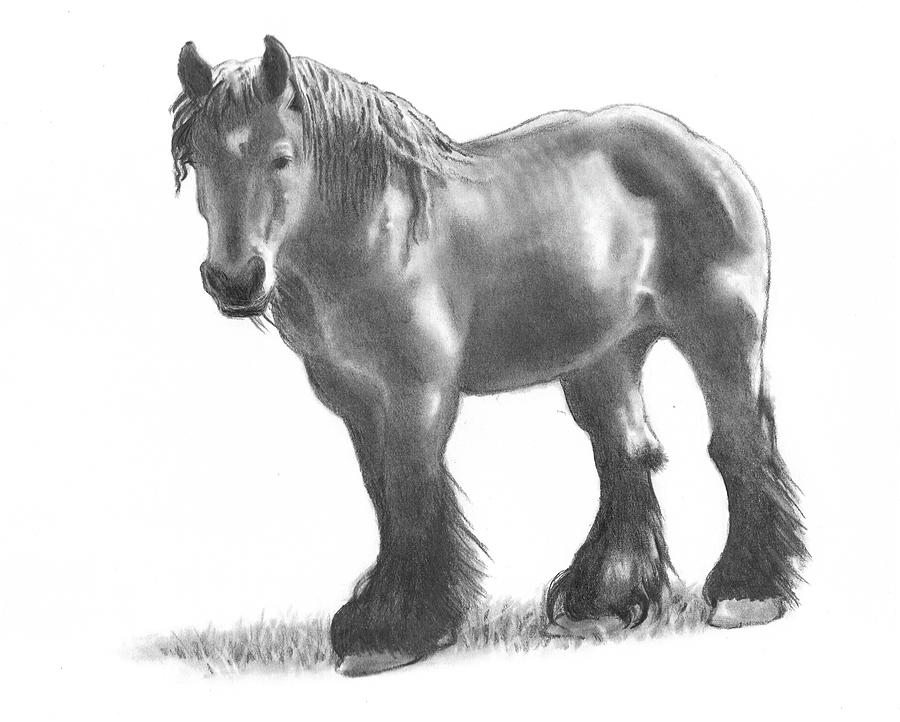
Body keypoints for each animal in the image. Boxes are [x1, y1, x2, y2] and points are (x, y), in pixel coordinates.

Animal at [172, 36, 807, 676]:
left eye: (281, 158)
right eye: (197, 160)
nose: (235, 281)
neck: (380, 235)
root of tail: (702, 152)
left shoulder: (419, 394)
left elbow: (410, 492)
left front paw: (393, 632)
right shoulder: (355, 400)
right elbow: (382, 495)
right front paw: (381, 620)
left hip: (721, 334)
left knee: (738, 443)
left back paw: (747, 594)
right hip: (604, 357)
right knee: (627, 455)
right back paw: (599, 604)